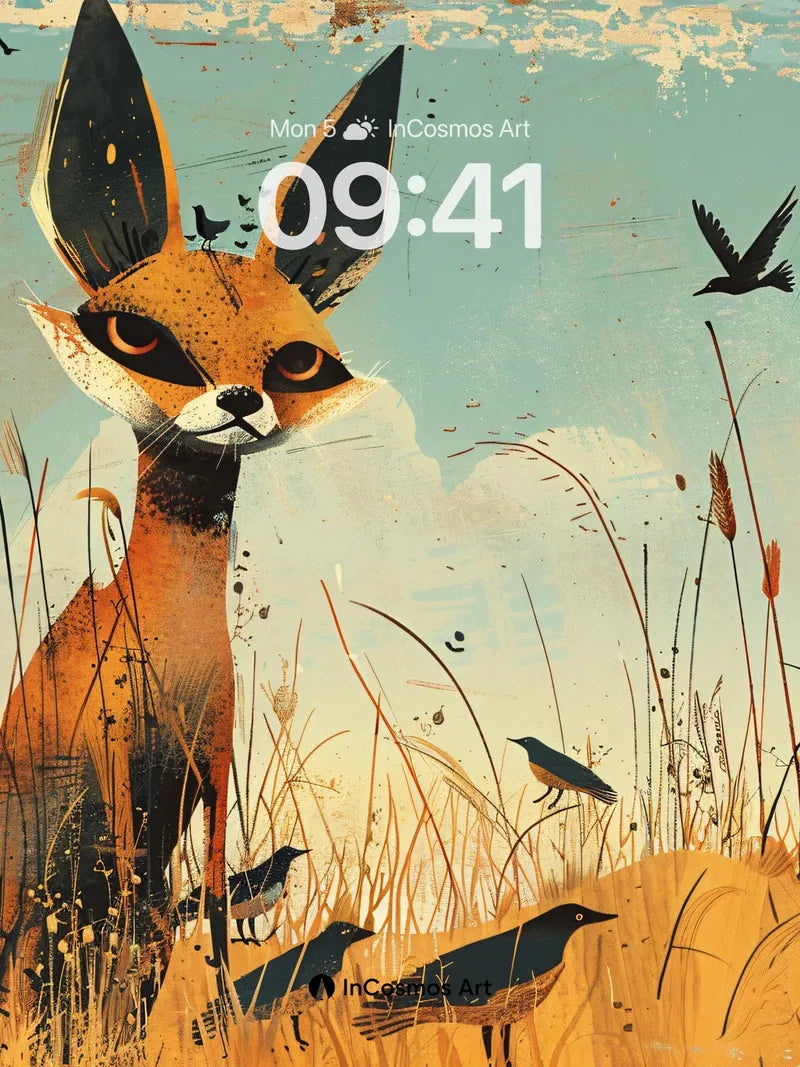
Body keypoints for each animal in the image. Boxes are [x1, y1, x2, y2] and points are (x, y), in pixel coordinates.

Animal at [0, 0, 403, 1019]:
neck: (174, 656)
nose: (238, 399)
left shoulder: (214, 761)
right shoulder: (116, 762)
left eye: (299, 361)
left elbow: (212, 907)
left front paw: (219, 998)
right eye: (137, 335)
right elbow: (146, 894)